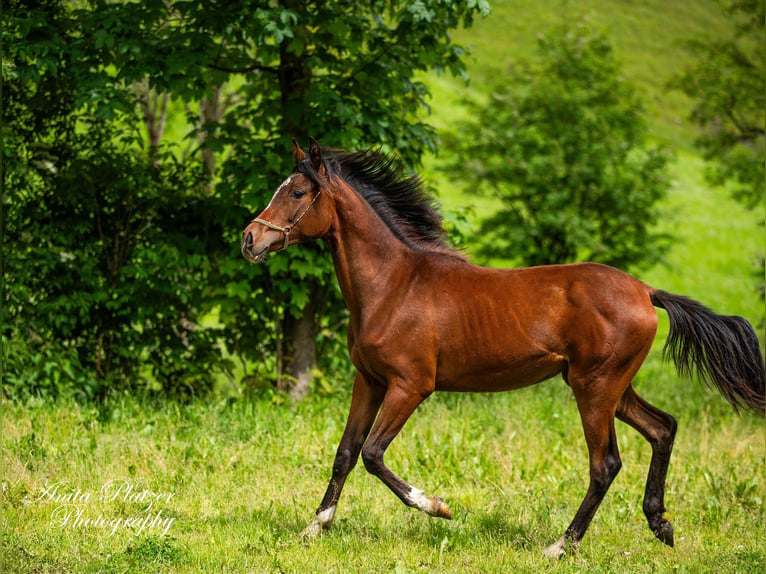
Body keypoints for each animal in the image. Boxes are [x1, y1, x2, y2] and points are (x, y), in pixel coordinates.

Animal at [242, 137, 766, 560]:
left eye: (296, 192)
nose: (250, 239)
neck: (394, 285)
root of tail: (645, 291)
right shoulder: (368, 381)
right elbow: (346, 452)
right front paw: (315, 527)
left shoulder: (411, 386)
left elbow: (372, 454)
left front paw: (439, 507)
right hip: (613, 387)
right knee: (663, 428)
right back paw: (661, 525)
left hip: (595, 389)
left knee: (605, 465)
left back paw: (560, 547)